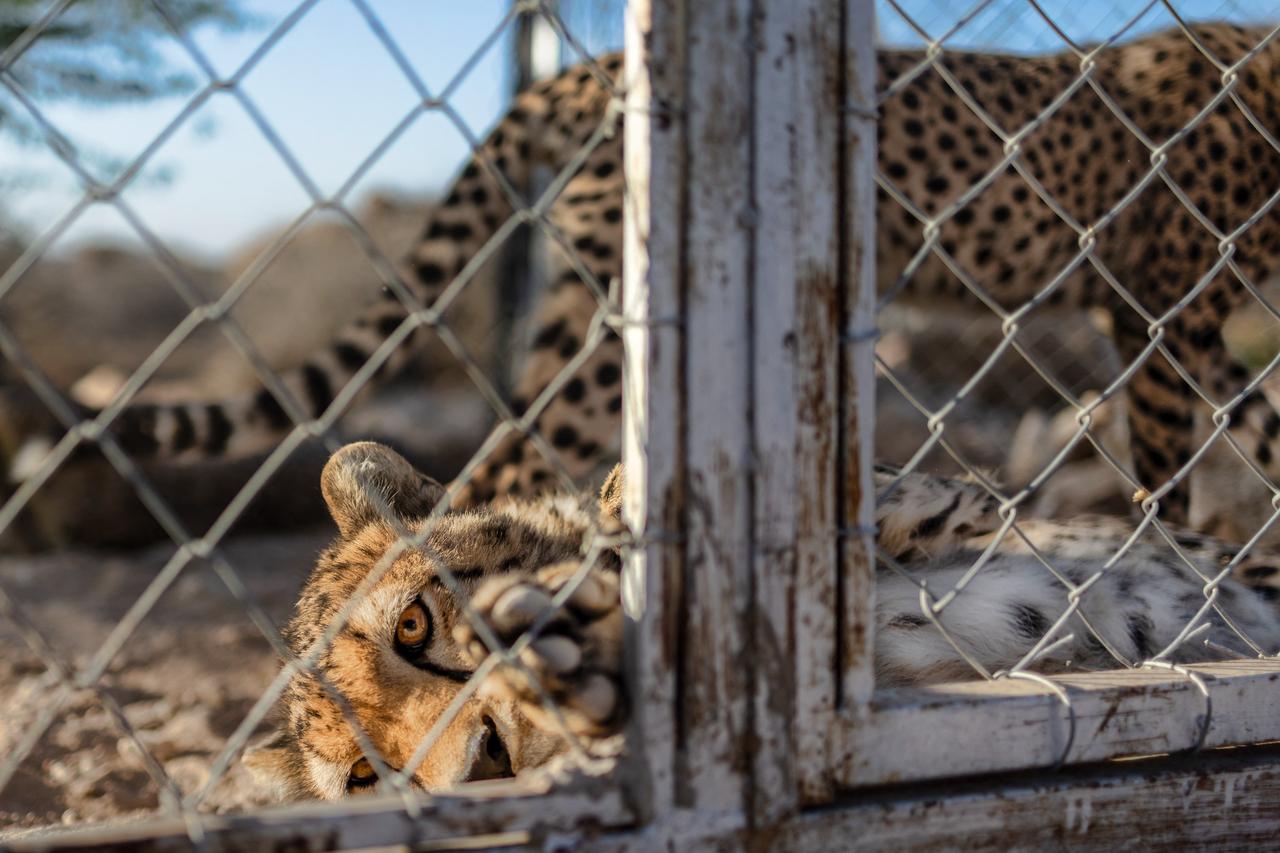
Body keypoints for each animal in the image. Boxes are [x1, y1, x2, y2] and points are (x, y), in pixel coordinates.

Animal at [7, 22, 1280, 532]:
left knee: (501, 457)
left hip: (577, 308)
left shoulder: (1195, 327)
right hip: (617, 331)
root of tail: (581, 66)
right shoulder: (1158, 311)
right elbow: (1170, 469)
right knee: (504, 463)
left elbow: (1261, 420)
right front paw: (1178, 574)